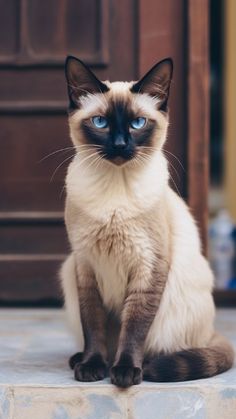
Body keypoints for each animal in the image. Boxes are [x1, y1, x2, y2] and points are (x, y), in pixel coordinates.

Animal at [60, 55, 233, 388]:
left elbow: (134, 329)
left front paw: (125, 373)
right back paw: (81, 360)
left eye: (137, 123)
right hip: (68, 272)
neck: (114, 190)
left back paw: (147, 366)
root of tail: (212, 330)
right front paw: (92, 368)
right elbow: (94, 328)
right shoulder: (86, 268)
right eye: (100, 123)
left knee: (169, 347)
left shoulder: (148, 268)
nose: (119, 144)